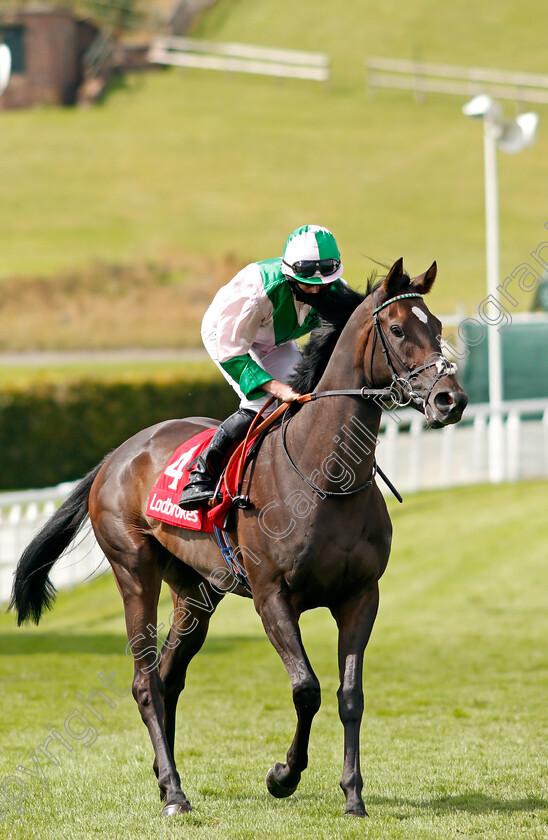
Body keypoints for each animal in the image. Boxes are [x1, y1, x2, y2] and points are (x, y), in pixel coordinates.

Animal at [9, 258, 466, 820]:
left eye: (439, 326)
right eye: (398, 330)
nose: (451, 399)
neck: (326, 475)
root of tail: (117, 455)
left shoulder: (361, 595)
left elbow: (350, 694)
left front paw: (353, 795)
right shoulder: (273, 595)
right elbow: (306, 689)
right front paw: (282, 776)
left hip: (196, 593)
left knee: (168, 677)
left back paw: (164, 778)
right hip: (134, 571)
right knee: (145, 682)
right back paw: (175, 794)